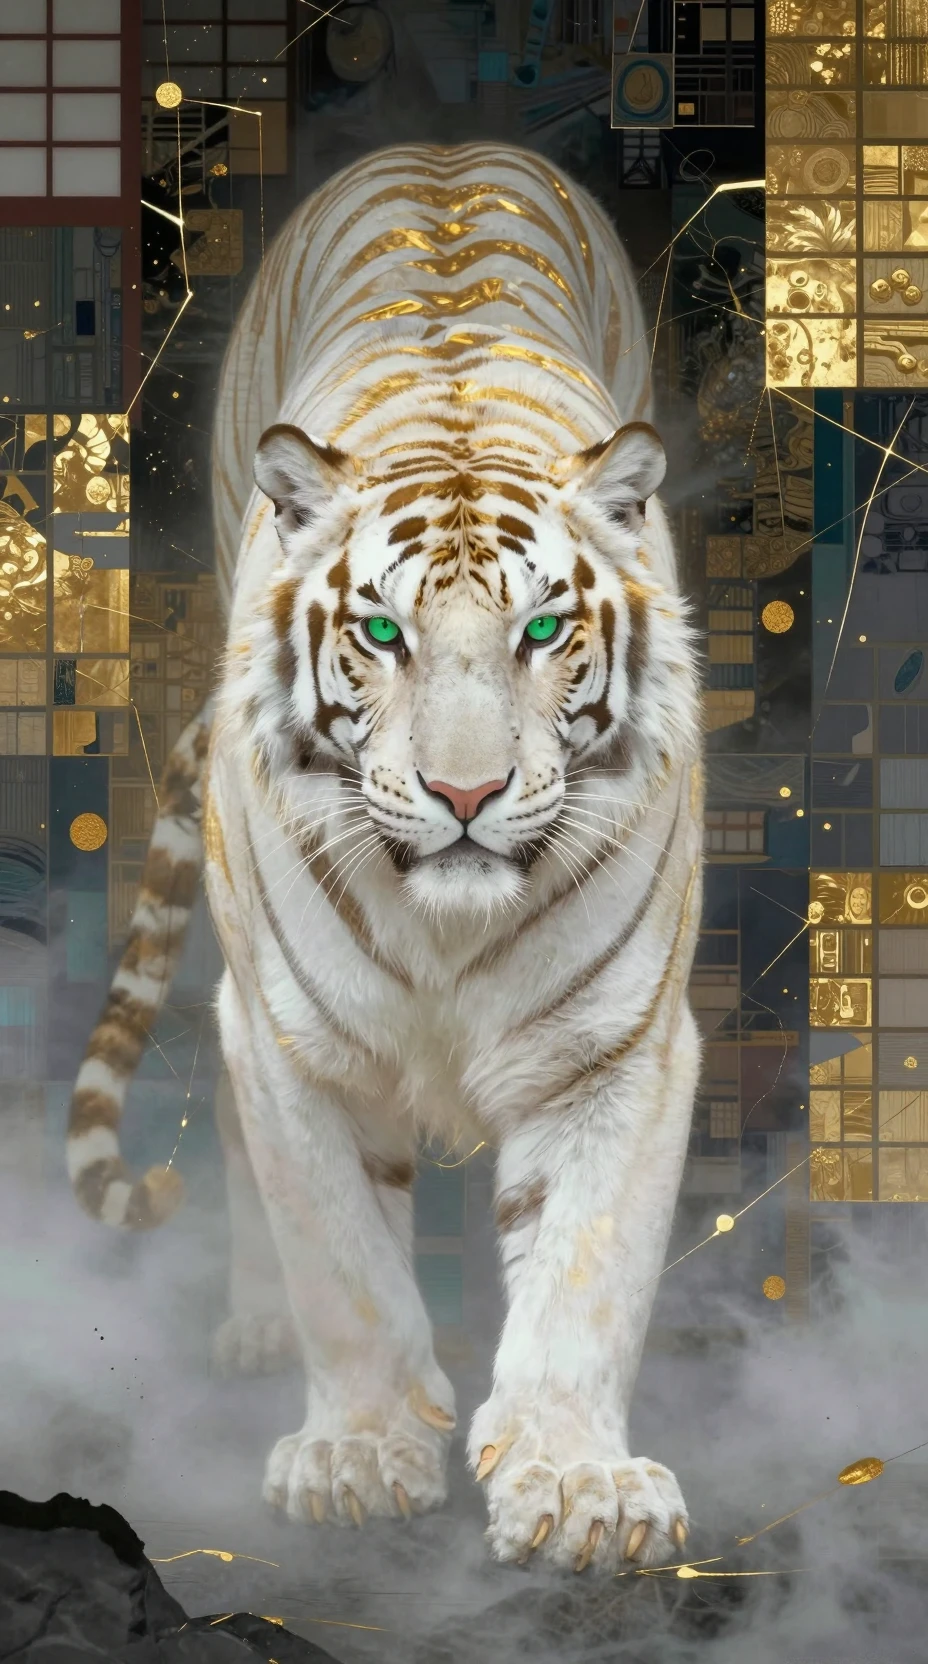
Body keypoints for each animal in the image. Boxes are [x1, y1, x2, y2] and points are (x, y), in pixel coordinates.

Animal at [68, 142, 703, 1575]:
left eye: (541, 631)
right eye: (378, 631)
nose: (465, 791)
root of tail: (446, 148)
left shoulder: (619, 1048)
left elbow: (589, 1270)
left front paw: (580, 1485)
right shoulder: (292, 1039)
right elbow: (342, 1263)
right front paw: (357, 1455)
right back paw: (254, 1326)